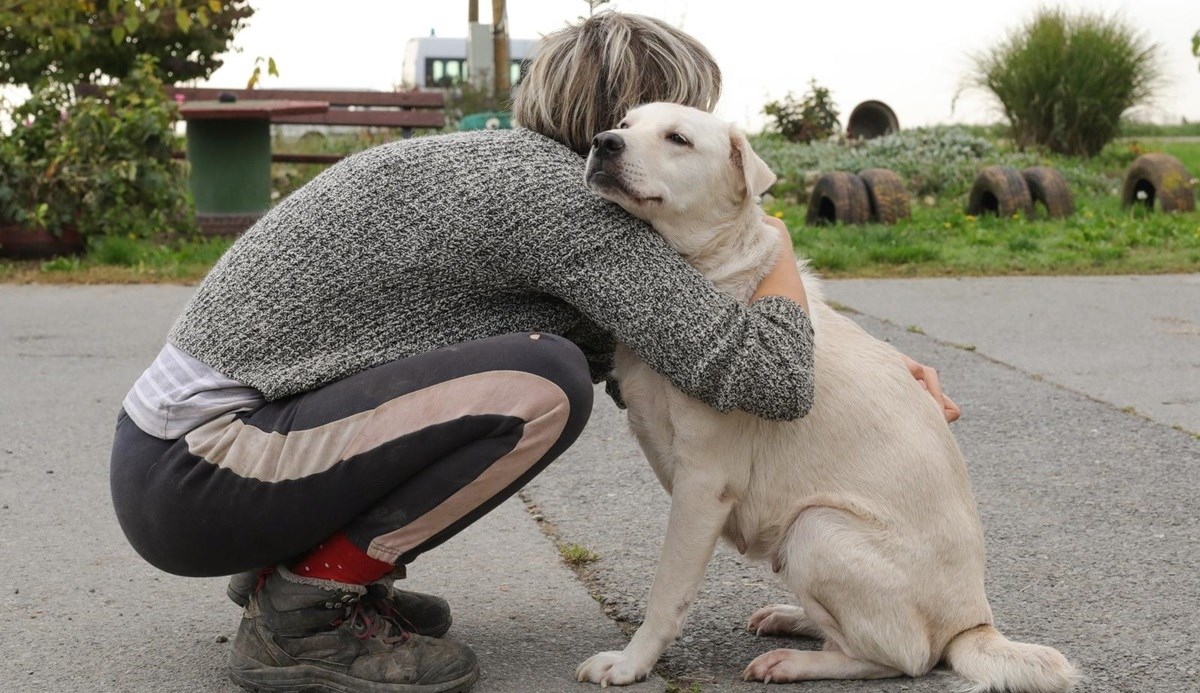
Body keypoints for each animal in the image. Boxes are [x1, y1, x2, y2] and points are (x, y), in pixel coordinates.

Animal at [573, 103, 1080, 690]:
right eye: (626, 124)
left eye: (678, 139)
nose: (603, 142)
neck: (711, 270)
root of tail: (973, 622)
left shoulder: (704, 482)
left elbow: (666, 593)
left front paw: (631, 663)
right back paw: (792, 619)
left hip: (814, 527)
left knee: (903, 656)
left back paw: (796, 662)